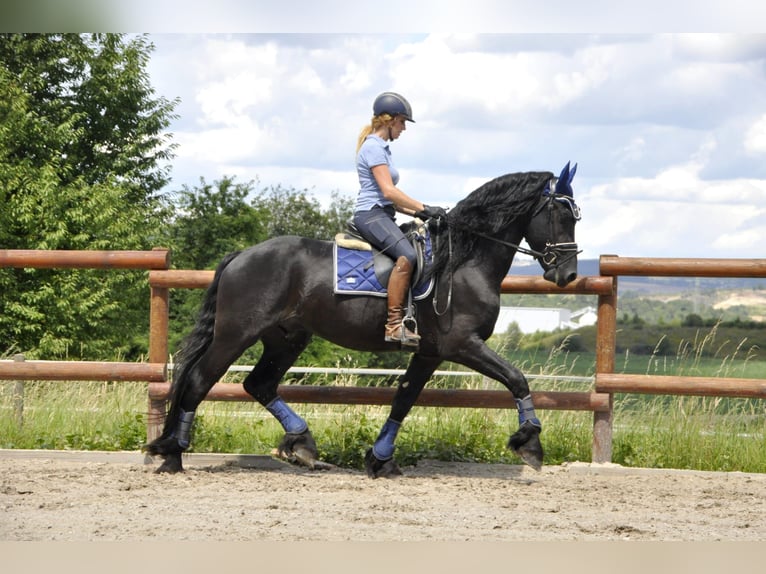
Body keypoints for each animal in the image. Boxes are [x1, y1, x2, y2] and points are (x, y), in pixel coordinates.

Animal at [146, 161, 584, 476]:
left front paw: (381, 459)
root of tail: (242, 255)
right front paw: (530, 444)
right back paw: (172, 455)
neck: (463, 261)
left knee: (259, 384)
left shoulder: (430, 352)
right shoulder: (462, 344)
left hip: (287, 337)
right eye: (563, 216)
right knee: (200, 381)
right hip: (235, 334)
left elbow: (404, 399)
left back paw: (303, 444)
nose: (566, 275)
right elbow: (516, 378)